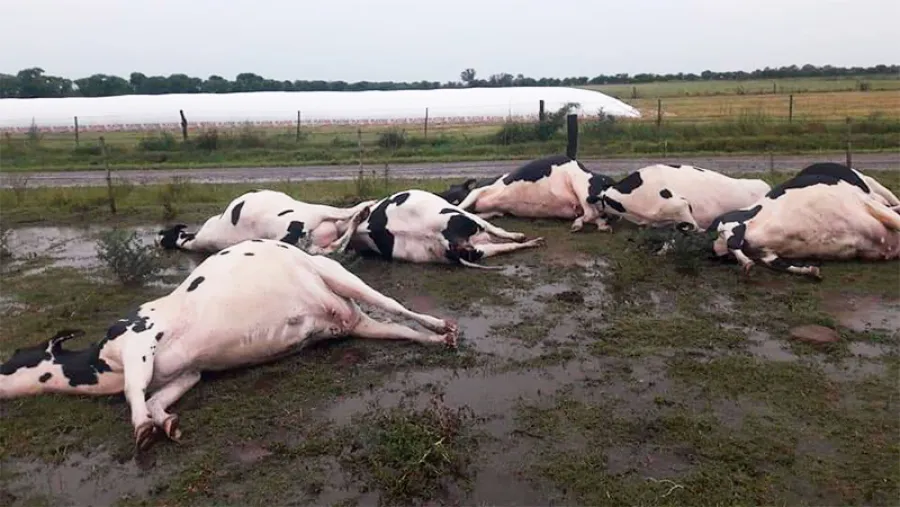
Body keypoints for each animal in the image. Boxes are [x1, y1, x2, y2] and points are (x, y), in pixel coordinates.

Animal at [0, 239, 460, 453]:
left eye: (14, 354)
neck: (100, 365)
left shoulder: (138, 339)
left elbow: (135, 391)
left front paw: (144, 429)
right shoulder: (187, 374)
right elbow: (155, 397)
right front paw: (166, 423)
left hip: (340, 278)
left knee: (397, 306)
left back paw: (443, 325)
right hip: (361, 324)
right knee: (399, 329)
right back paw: (438, 339)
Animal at [439, 154, 617, 232]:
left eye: (451, 195)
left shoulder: (478, 191)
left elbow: (462, 206)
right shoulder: (496, 211)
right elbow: (477, 215)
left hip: (580, 184)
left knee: (590, 212)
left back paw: (577, 225)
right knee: (596, 216)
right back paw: (601, 226)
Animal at [708, 162, 900, 279]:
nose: (716, 251)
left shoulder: (864, 203)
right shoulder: (767, 253)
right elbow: (781, 265)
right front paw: (812, 270)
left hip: (874, 188)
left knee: (890, 200)